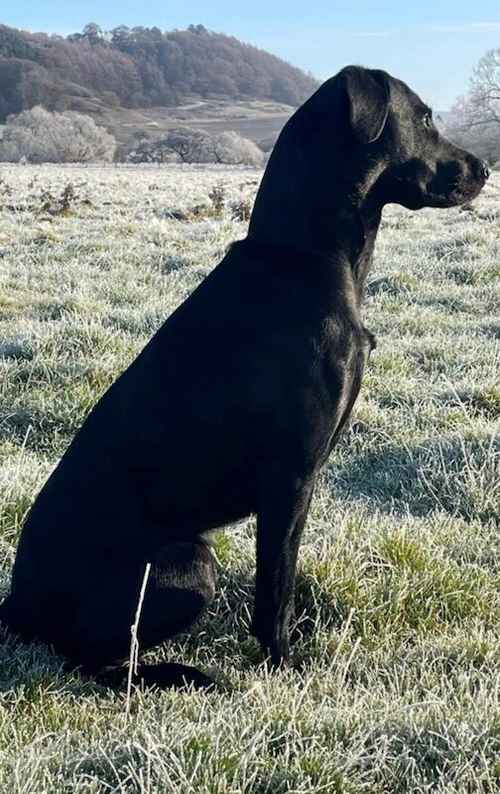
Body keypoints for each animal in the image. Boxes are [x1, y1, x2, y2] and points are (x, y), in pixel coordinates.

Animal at [0, 65, 488, 684]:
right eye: (424, 117)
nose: (484, 169)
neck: (302, 258)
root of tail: (15, 603)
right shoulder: (290, 478)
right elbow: (274, 590)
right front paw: (285, 667)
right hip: (189, 561)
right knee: (96, 661)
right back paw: (183, 674)